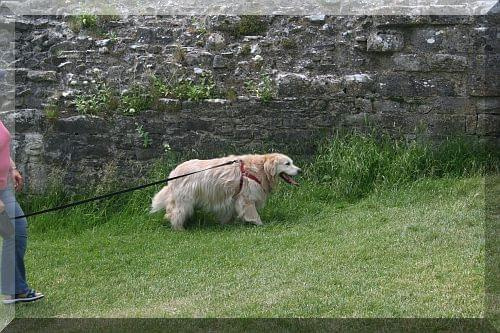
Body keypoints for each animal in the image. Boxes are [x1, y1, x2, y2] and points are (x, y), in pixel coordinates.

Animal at [150, 152, 300, 228]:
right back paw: (180, 229)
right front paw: (259, 224)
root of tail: (173, 173)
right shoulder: (246, 198)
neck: (260, 168)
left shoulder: (232, 198)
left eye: (292, 162)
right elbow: (253, 214)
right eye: (287, 164)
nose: (300, 170)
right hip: (185, 201)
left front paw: (227, 223)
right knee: (175, 214)